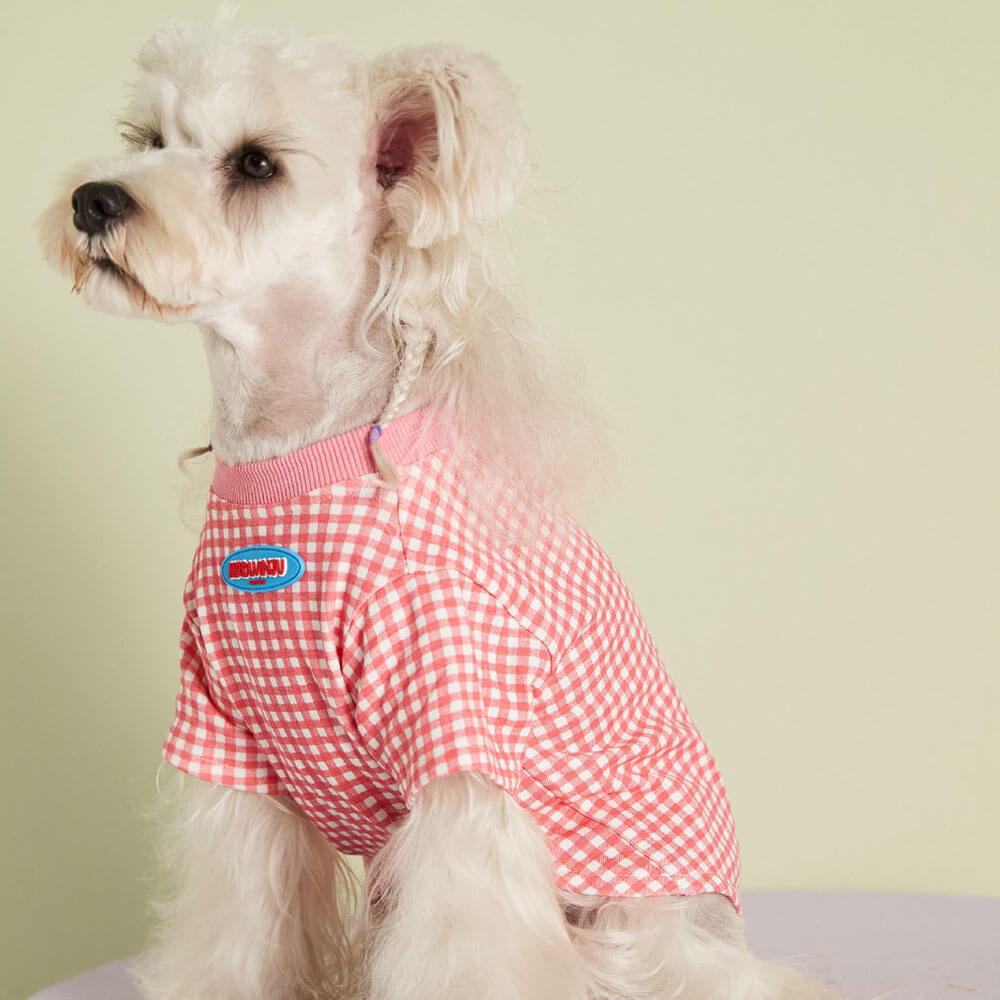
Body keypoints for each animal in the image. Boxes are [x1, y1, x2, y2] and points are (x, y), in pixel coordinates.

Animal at [35, 9, 840, 1000]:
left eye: (256, 163)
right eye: (148, 139)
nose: (94, 200)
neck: (296, 455)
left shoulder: (462, 756)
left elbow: (466, 950)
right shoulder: (232, 750)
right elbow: (233, 932)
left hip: (638, 926)